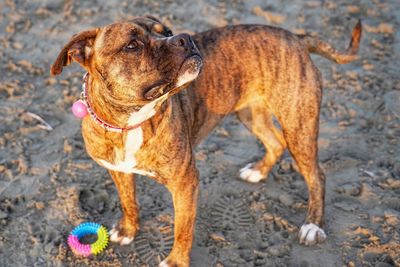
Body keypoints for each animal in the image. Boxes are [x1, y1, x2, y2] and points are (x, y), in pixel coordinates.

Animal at [51, 15, 360, 266]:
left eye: (167, 31)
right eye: (132, 45)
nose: (183, 37)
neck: (131, 122)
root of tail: (296, 37)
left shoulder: (185, 183)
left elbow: (182, 228)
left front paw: (176, 261)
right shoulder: (118, 171)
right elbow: (129, 202)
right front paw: (128, 230)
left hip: (299, 125)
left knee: (316, 175)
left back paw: (312, 225)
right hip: (251, 113)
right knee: (275, 143)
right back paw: (258, 171)